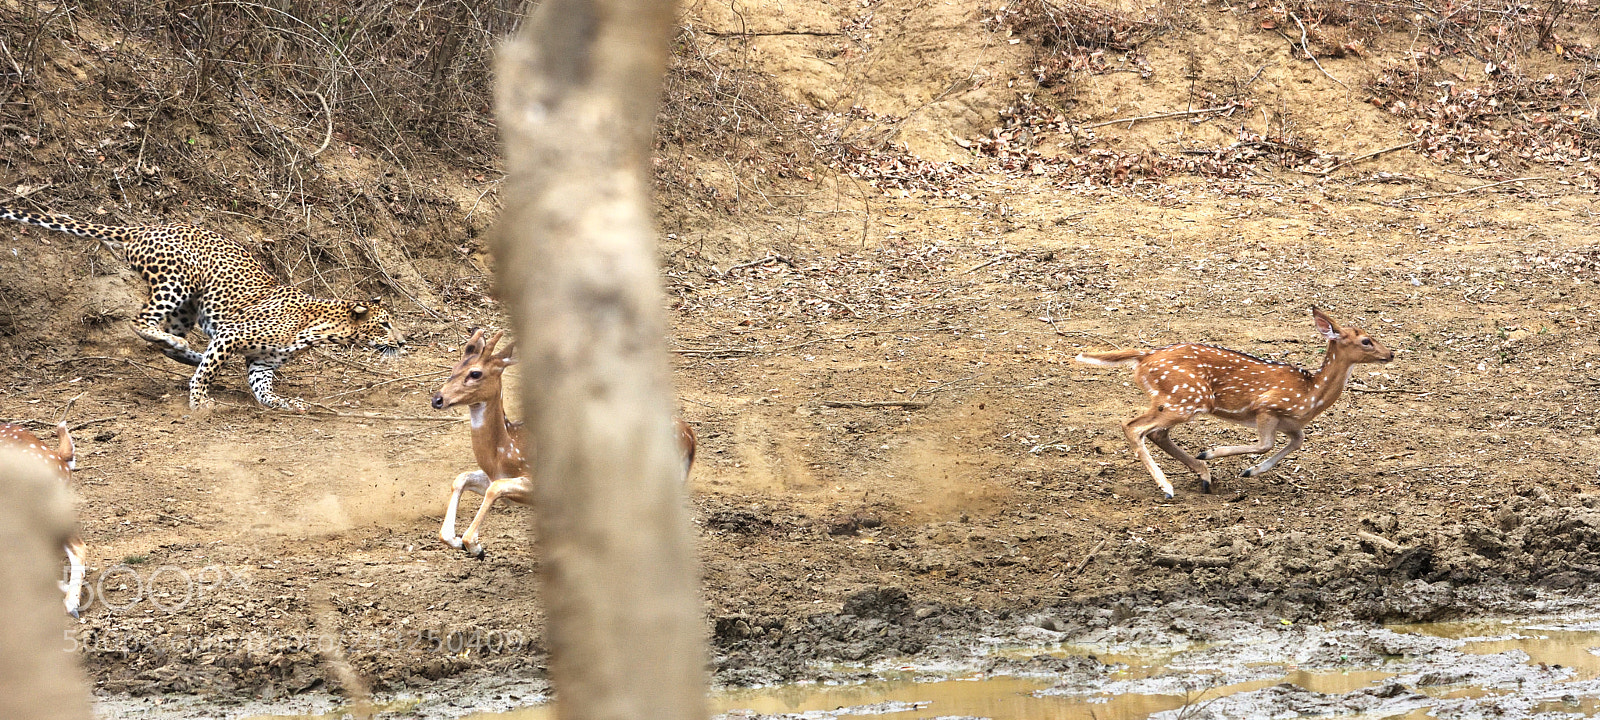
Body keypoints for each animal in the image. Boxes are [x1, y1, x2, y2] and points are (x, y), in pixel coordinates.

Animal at [0, 206, 406, 411]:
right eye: (385, 324)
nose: (403, 343)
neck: (318, 327)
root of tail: (142, 229)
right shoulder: (231, 335)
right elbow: (207, 374)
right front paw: (199, 403)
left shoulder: (260, 362)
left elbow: (262, 389)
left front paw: (283, 402)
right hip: (177, 282)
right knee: (140, 321)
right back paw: (185, 351)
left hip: (186, 307)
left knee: (164, 339)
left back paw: (184, 349)